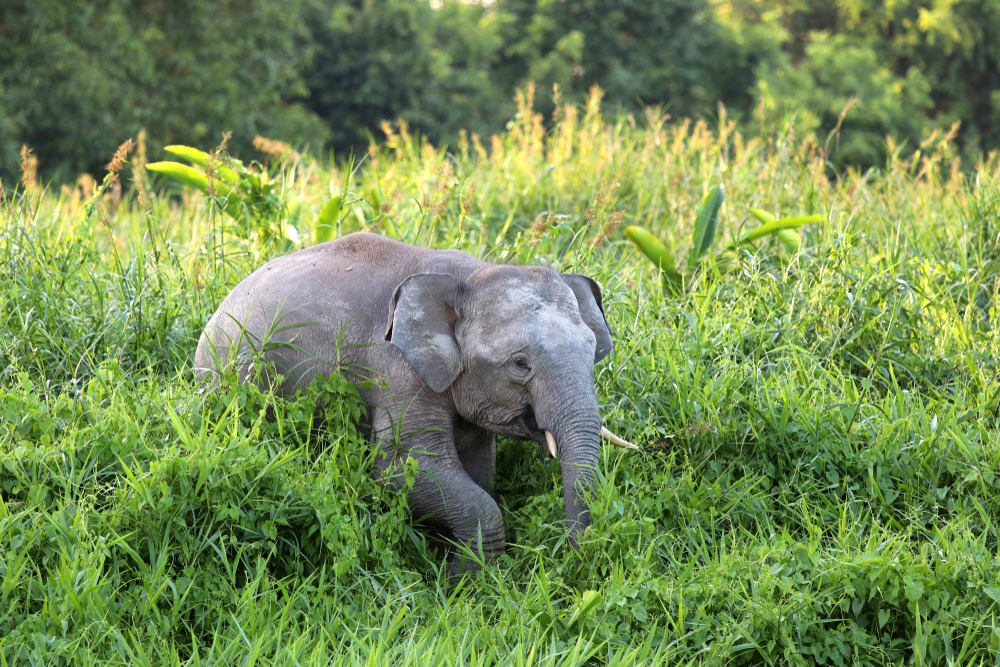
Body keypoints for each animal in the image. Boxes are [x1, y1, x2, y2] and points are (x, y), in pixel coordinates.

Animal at [194, 232, 635, 573]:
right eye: (520, 364)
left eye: (592, 350)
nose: (571, 556)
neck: (470, 275)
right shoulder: (397, 371)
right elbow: (400, 469)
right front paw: (463, 583)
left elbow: (478, 469)